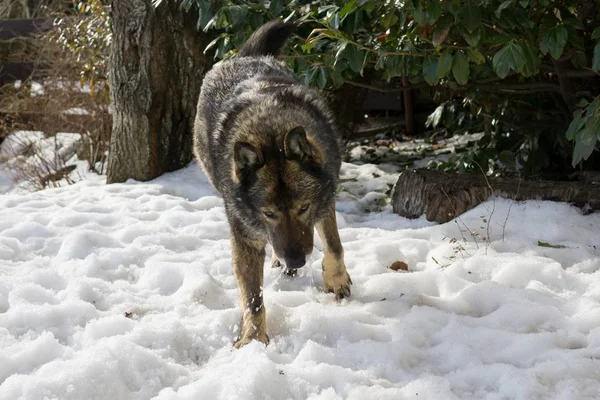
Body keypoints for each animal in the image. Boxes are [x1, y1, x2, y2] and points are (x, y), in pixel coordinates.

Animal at [192, 21, 352, 346]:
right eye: (269, 213)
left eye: (303, 208)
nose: (296, 261)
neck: (269, 129)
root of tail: (244, 57)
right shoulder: (246, 237)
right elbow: (253, 299)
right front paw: (253, 342)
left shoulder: (324, 200)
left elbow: (334, 244)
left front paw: (336, 280)